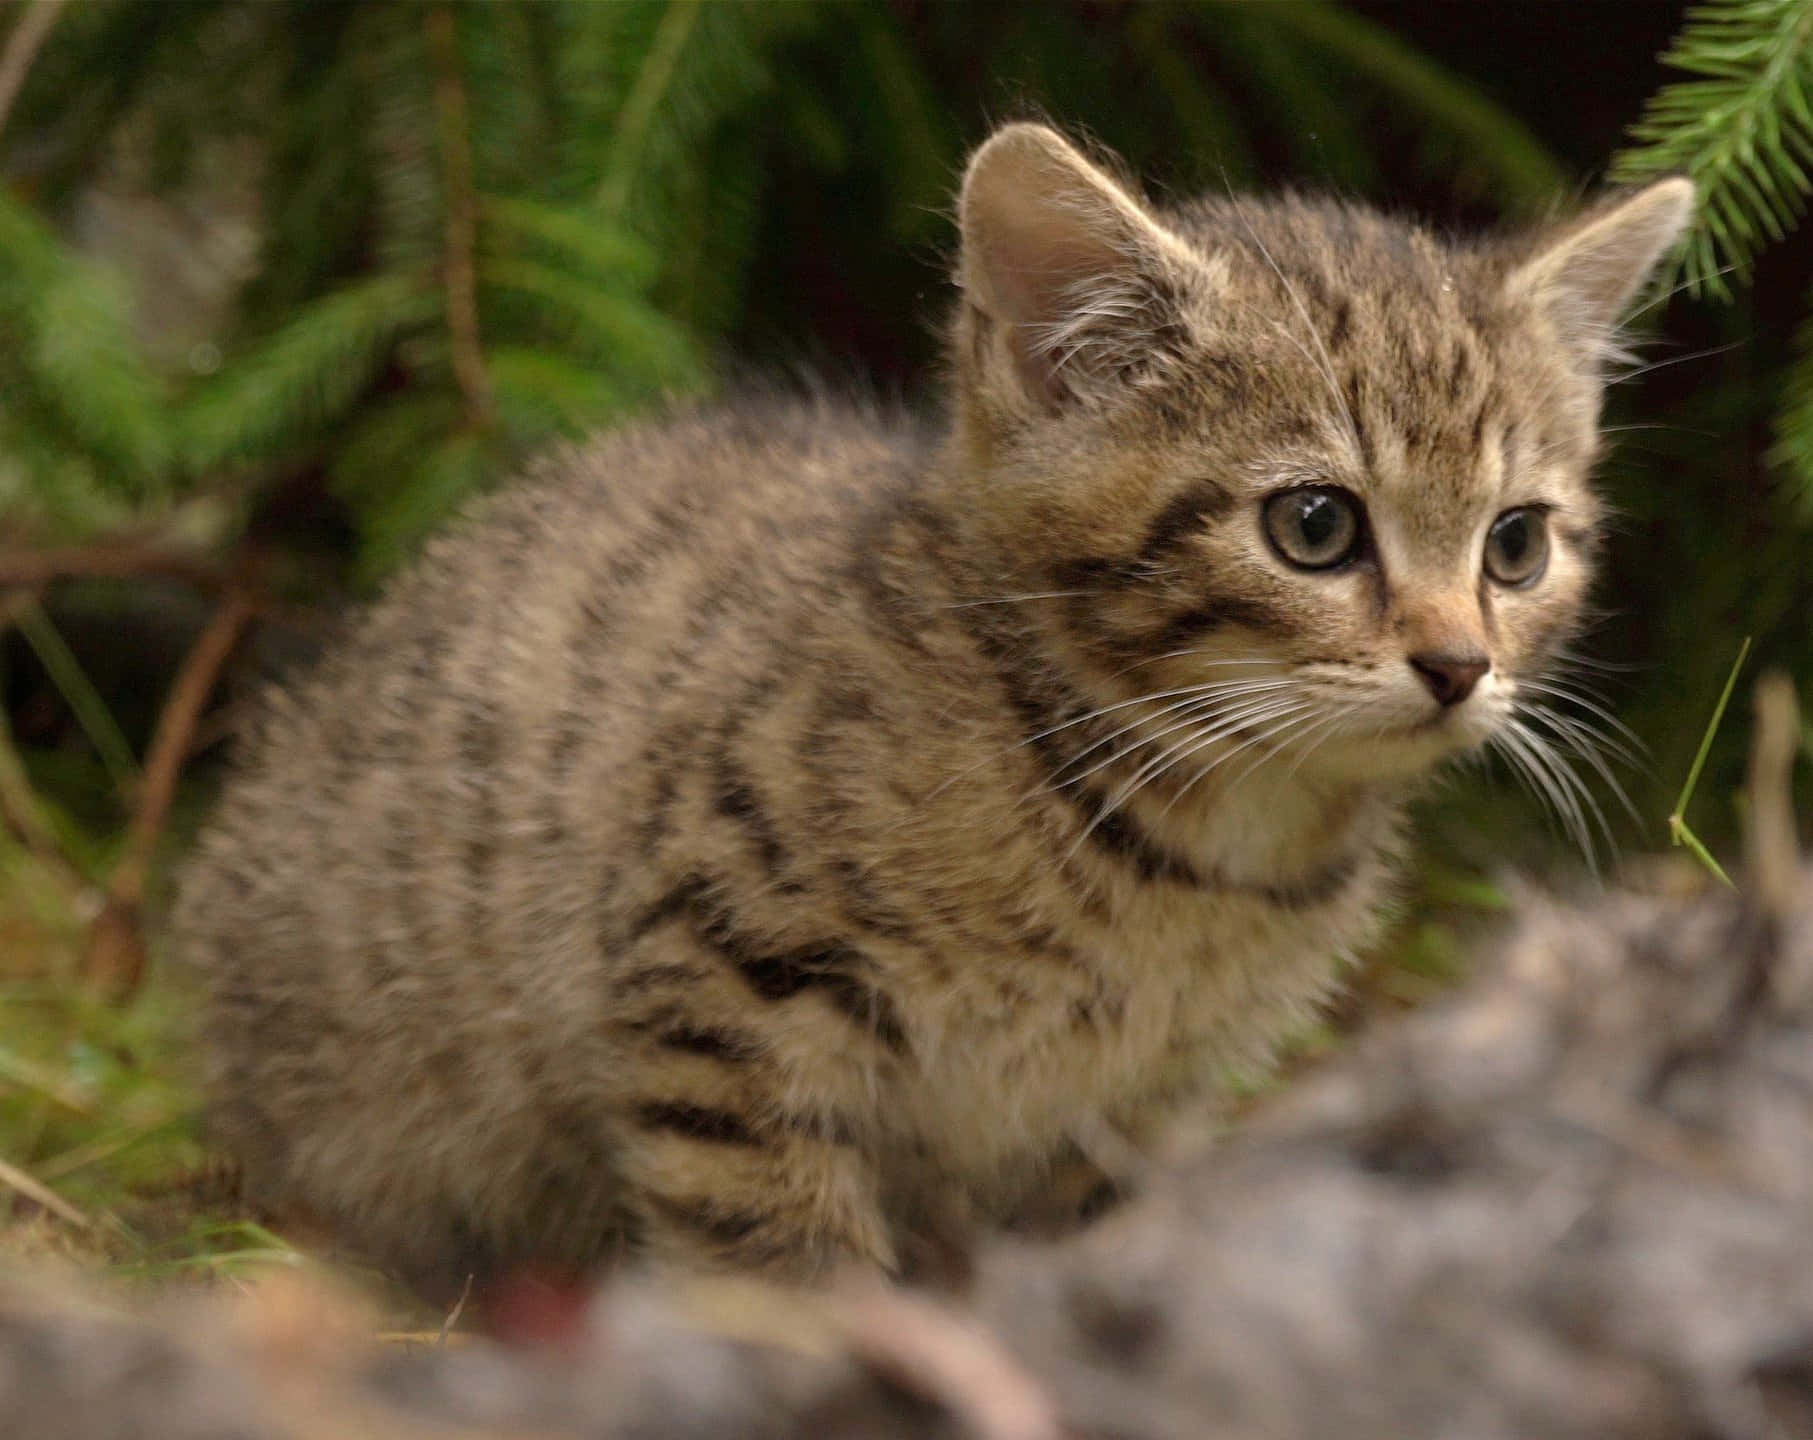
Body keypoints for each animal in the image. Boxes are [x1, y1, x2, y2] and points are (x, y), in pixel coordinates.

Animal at [176, 126, 1689, 1291]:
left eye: (1515, 546)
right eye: (1313, 526)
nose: (1458, 665)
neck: (1188, 842)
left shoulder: (1129, 1106)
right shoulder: (718, 972)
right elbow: (778, 1252)